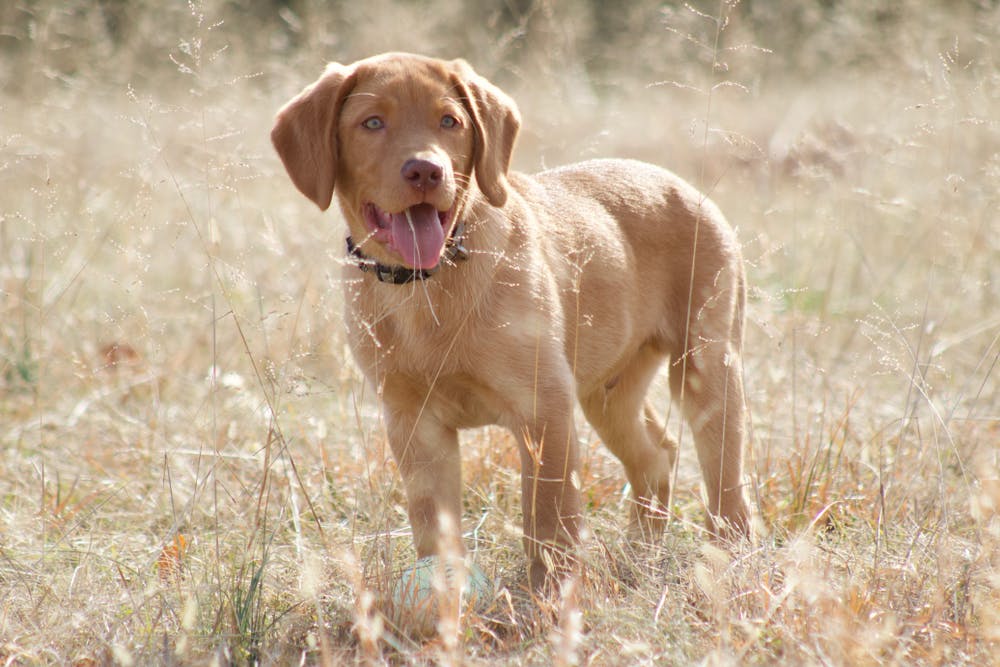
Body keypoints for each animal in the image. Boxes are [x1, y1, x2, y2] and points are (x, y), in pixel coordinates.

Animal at [274, 54, 752, 592]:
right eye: (371, 123)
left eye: (450, 121)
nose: (426, 170)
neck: (428, 284)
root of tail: (679, 183)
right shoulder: (414, 424)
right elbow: (433, 522)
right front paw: (444, 592)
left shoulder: (544, 407)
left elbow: (548, 516)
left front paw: (553, 596)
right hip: (609, 392)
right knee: (656, 454)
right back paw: (640, 555)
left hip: (706, 366)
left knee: (725, 476)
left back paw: (730, 557)